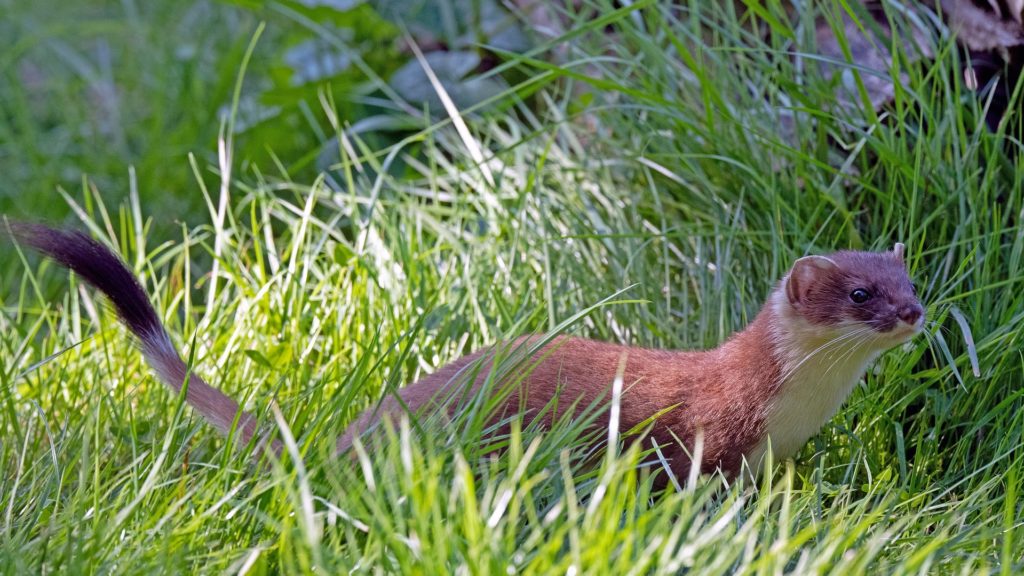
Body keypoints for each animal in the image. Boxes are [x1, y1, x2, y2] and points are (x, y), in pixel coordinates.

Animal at [4, 222, 925, 477]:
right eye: (860, 293)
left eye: (907, 276)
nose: (914, 311)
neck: (792, 412)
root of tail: (362, 428)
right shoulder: (705, 434)